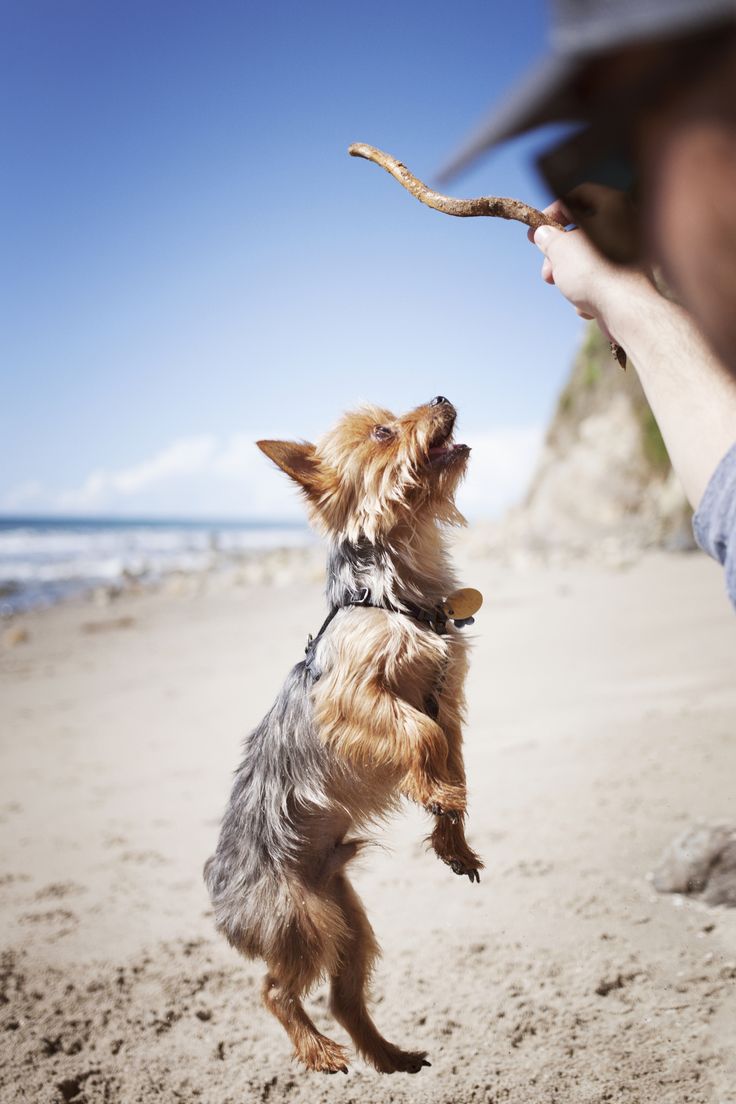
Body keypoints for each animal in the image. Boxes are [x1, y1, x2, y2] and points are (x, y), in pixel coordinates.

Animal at [206, 395, 483, 1068]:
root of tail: (220, 897)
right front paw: (438, 795)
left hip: (345, 916)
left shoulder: (448, 698)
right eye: (384, 432)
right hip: (302, 922)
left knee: (343, 995)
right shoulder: (353, 699)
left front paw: (452, 836)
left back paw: (389, 1057)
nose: (442, 396)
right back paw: (319, 1052)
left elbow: (452, 756)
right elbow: (422, 737)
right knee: (276, 990)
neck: (395, 593)